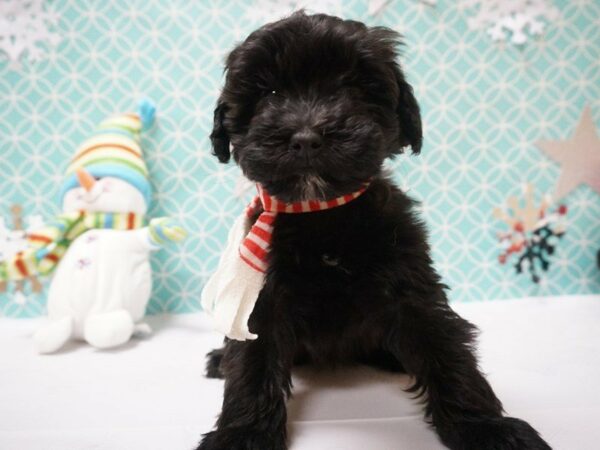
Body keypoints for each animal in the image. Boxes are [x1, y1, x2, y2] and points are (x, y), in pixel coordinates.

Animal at [198, 10, 552, 450]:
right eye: (269, 92)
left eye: (352, 86)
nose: (306, 138)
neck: (322, 213)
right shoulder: (263, 298)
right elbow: (251, 362)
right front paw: (242, 433)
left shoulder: (409, 283)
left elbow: (447, 350)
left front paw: (486, 426)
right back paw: (219, 360)